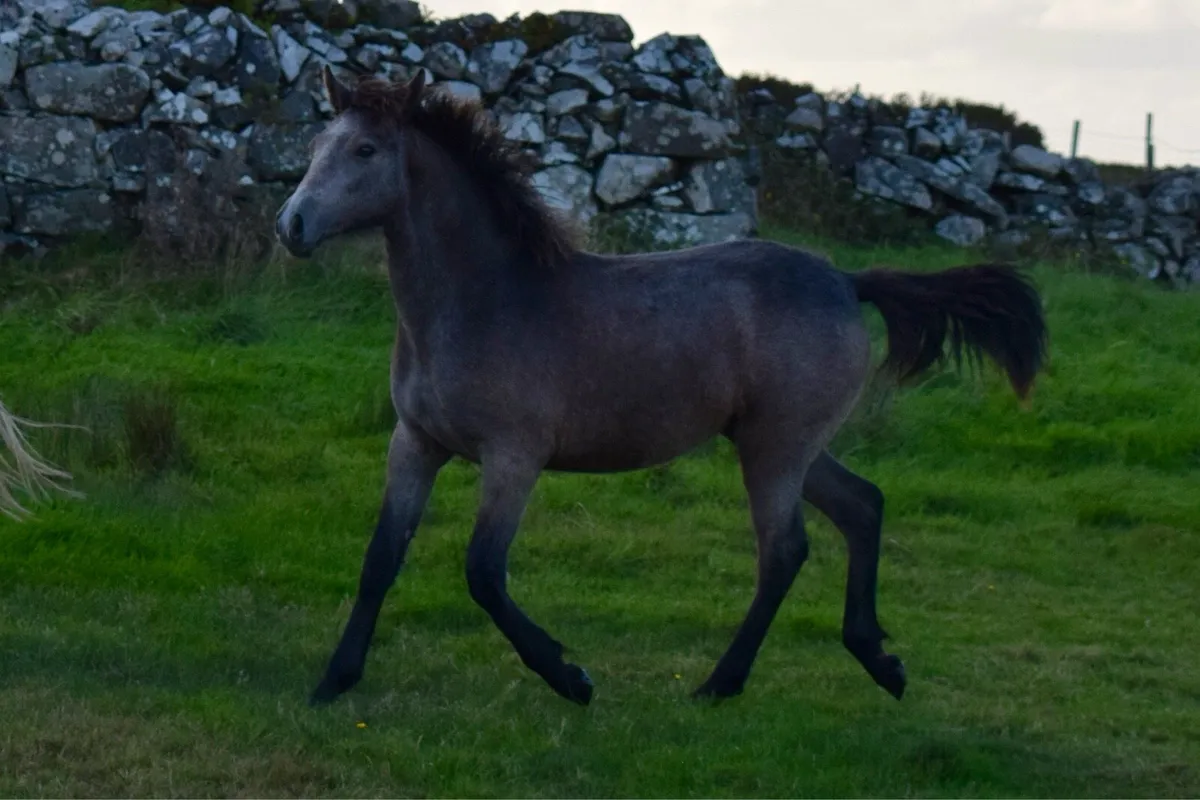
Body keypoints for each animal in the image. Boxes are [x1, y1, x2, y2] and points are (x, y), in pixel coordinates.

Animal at [275, 65, 1048, 707]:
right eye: (317, 142)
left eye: (366, 151)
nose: (291, 225)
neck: (483, 299)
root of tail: (846, 280)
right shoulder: (416, 443)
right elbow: (381, 559)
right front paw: (332, 682)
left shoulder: (514, 456)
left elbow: (484, 573)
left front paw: (571, 678)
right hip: (782, 442)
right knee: (862, 506)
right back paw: (878, 660)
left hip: (774, 448)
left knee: (784, 552)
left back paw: (720, 684)